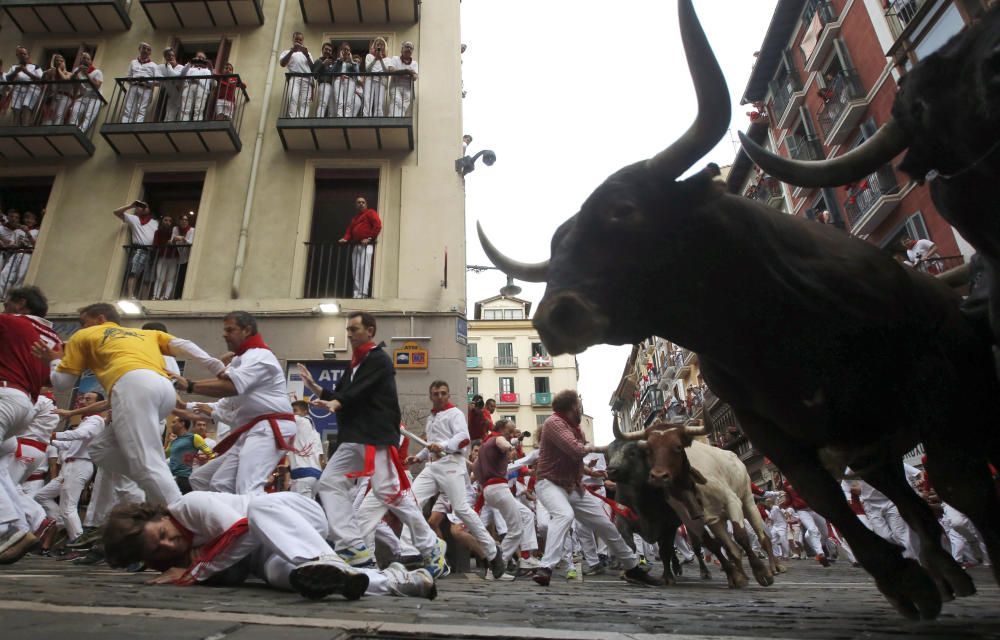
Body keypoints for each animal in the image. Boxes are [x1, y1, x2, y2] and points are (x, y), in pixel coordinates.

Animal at [476, 0, 1000, 624]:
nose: (554, 313)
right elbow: (821, 497)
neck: (774, 326)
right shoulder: (769, 432)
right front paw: (902, 580)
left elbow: (955, 483)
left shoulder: (940, 388)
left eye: (623, 210)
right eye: (557, 247)